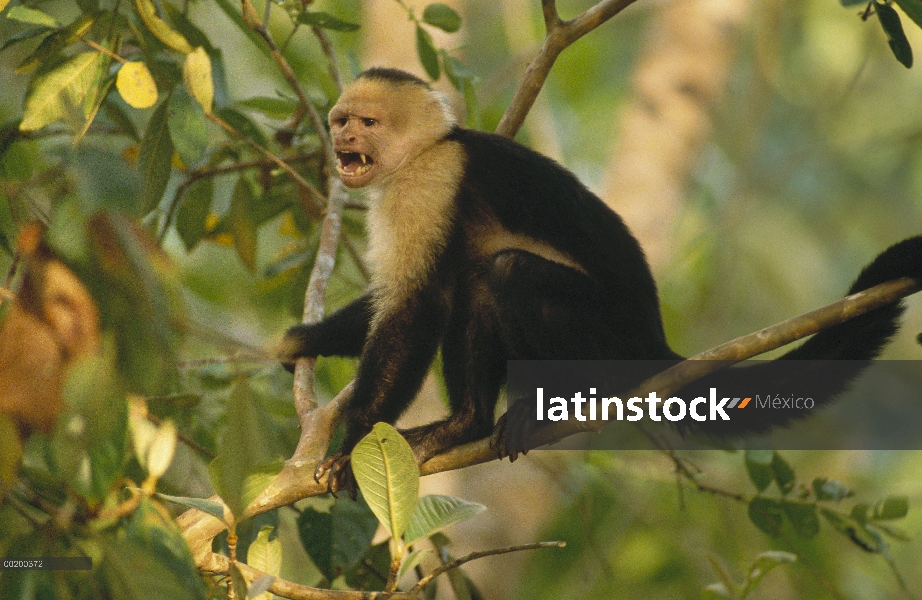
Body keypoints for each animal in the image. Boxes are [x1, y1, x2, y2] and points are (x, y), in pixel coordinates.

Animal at [278, 68, 920, 494]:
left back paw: (501, 417)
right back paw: (474, 423)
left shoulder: (428, 183)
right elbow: (400, 296)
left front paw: (350, 445)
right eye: (341, 120)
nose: (343, 139)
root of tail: (654, 339)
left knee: (500, 273)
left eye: (367, 122)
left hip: (606, 336)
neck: (427, 149)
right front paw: (307, 340)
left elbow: (417, 304)